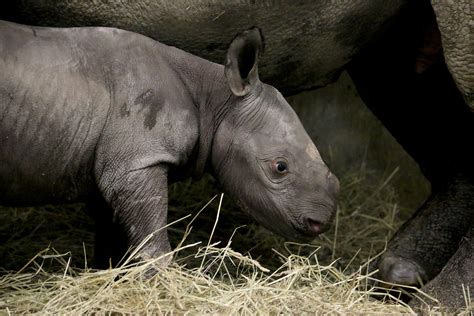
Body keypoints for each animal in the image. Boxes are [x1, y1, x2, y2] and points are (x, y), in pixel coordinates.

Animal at [0, 0, 474, 312]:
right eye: (279, 168)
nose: (319, 224)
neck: (214, 96)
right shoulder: (137, 157)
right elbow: (146, 226)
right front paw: (158, 285)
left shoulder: (125, 156)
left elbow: (117, 222)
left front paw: (115, 279)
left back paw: (411, 284)